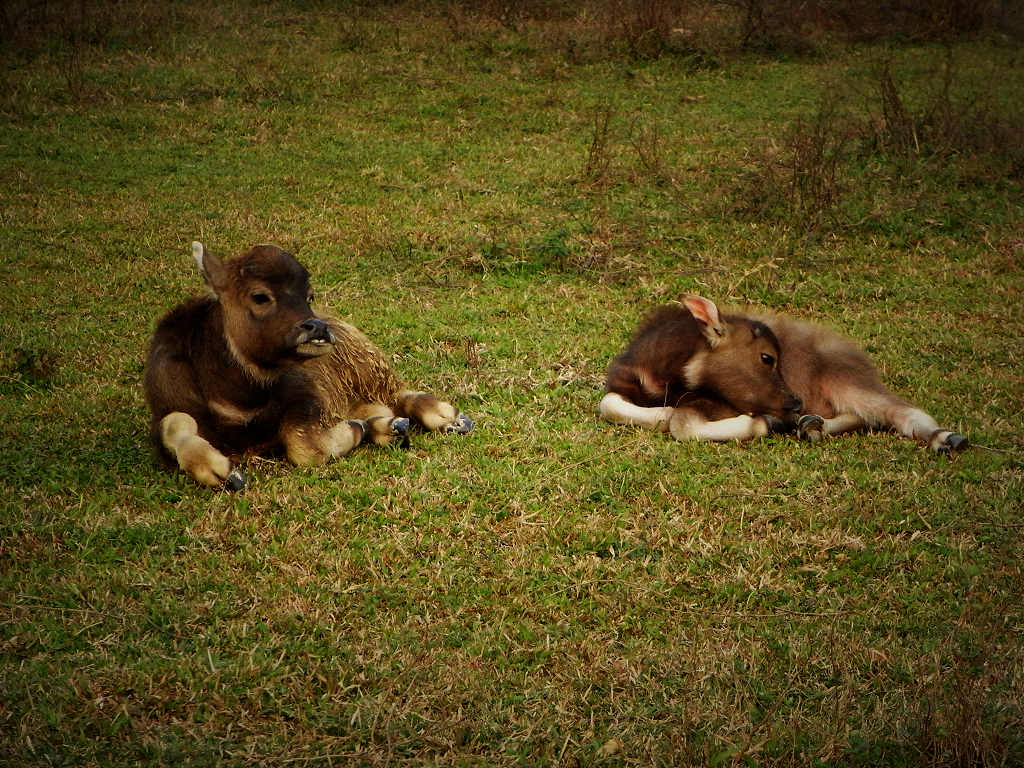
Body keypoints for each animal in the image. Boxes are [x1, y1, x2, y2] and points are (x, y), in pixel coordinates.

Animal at [144, 243, 471, 489]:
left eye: (308, 295)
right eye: (259, 296)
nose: (318, 329)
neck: (238, 402)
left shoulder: (308, 397)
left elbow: (304, 447)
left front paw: (354, 430)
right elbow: (175, 424)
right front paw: (220, 472)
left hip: (368, 365)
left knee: (400, 395)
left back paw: (448, 418)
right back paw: (389, 427)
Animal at [598, 292, 966, 450]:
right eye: (766, 358)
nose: (794, 401)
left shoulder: (713, 404)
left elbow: (683, 425)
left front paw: (763, 423)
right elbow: (610, 404)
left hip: (847, 381)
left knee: (898, 410)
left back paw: (947, 438)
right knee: (863, 417)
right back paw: (811, 426)